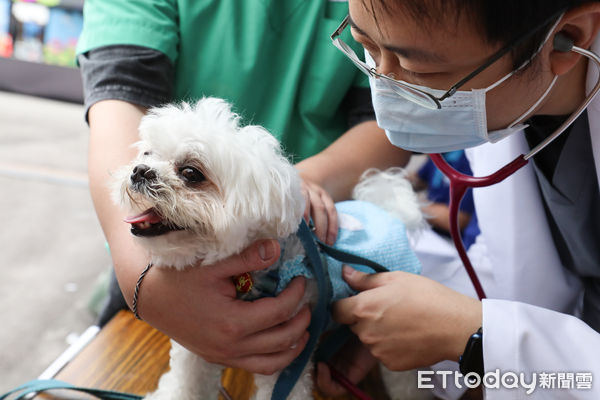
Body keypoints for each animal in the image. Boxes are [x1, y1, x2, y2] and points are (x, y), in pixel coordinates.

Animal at [113, 98, 432, 400]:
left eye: (191, 172)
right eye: (147, 154)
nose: (139, 171)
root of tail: (392, 212)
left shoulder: (288, 350)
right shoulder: (196, 338)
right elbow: (188, 380)